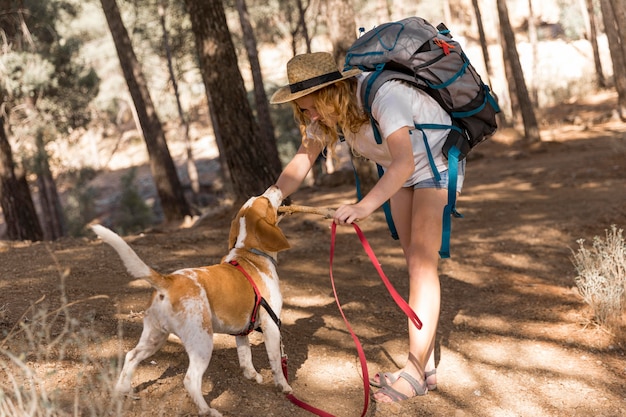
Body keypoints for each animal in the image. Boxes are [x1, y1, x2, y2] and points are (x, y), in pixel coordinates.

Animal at [91, 186, 292, 416]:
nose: (276, 186)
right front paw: (284, 386)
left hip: (154, 338)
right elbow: (276, 362)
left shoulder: (241, 331)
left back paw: (123, 390)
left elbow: (245, 356)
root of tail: (168, 280)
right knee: (190, 380)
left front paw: (252, 375)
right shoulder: (271, 325)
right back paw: (207, 410)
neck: (249, 252)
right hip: (202, 343)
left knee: (131, 356)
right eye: (266, 200)